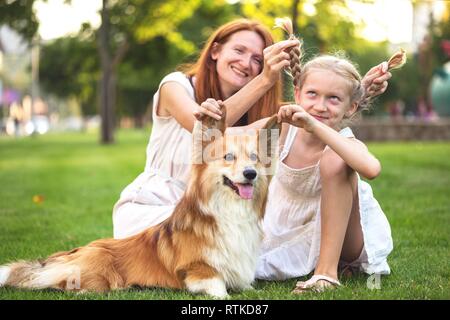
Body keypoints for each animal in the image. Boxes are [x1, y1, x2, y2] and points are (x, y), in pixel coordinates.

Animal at [0, 106, 278, 298]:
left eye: (254, 158)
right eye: (228, 157)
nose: (250, 174)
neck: (229, 211)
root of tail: (65, 255)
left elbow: (247, 286)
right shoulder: (198, 269)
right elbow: (218, 286)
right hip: (100, 270)